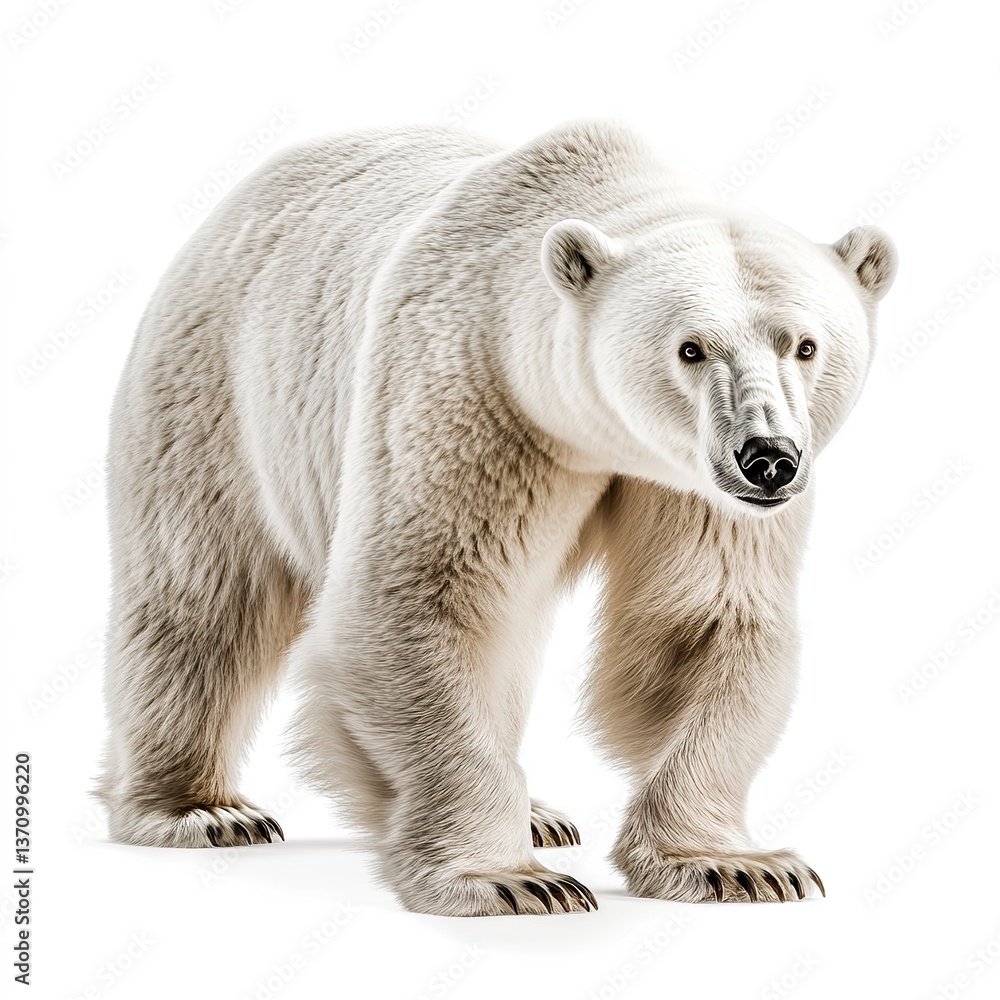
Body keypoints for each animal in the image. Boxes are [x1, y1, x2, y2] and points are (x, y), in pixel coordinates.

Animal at [97, 119, 896, 916]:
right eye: (691, 349)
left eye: (805, 344)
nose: (768, 457)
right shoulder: (474, 391)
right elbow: (424, 596)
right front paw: (508, 879)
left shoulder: (694, 485)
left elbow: (701, 618)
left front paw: (736, 865)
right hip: (218, 389)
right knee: (203, 595)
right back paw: (200, 808)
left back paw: (539, 813)